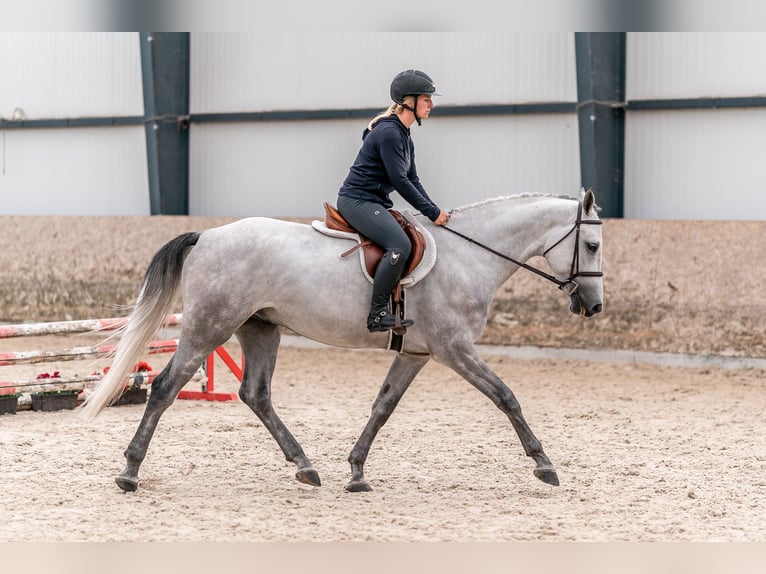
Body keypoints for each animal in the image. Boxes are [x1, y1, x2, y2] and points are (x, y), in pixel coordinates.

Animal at [79, 190, 608, 496]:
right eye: (593, 246)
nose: (594, 306)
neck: (469, 255)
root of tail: (207, 235)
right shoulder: (455, 349)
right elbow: (507, 397)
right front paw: (544, 465)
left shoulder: (417, 354)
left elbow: (382, 407)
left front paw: (356, 472)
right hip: (211, 326)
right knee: (166, 387)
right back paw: (129, 472)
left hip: (259, 327)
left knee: (256, 394)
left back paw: (305, 466)